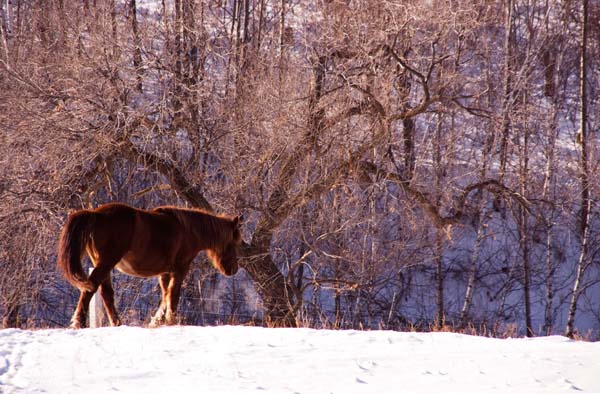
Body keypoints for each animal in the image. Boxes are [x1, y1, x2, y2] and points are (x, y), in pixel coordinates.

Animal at [57, 202, 241, 328]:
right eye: (234, 242)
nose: (233, 270)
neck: (187, 230)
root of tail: (96, 214)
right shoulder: (180, 269)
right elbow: (173, 295)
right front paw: (171, 320)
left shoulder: (164, 273)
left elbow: (165, 295)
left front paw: (157, 320)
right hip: (106, 262)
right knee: (91, 288)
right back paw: (79, 323)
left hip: (103, 264)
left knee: (106, 293)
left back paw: (117, 323)